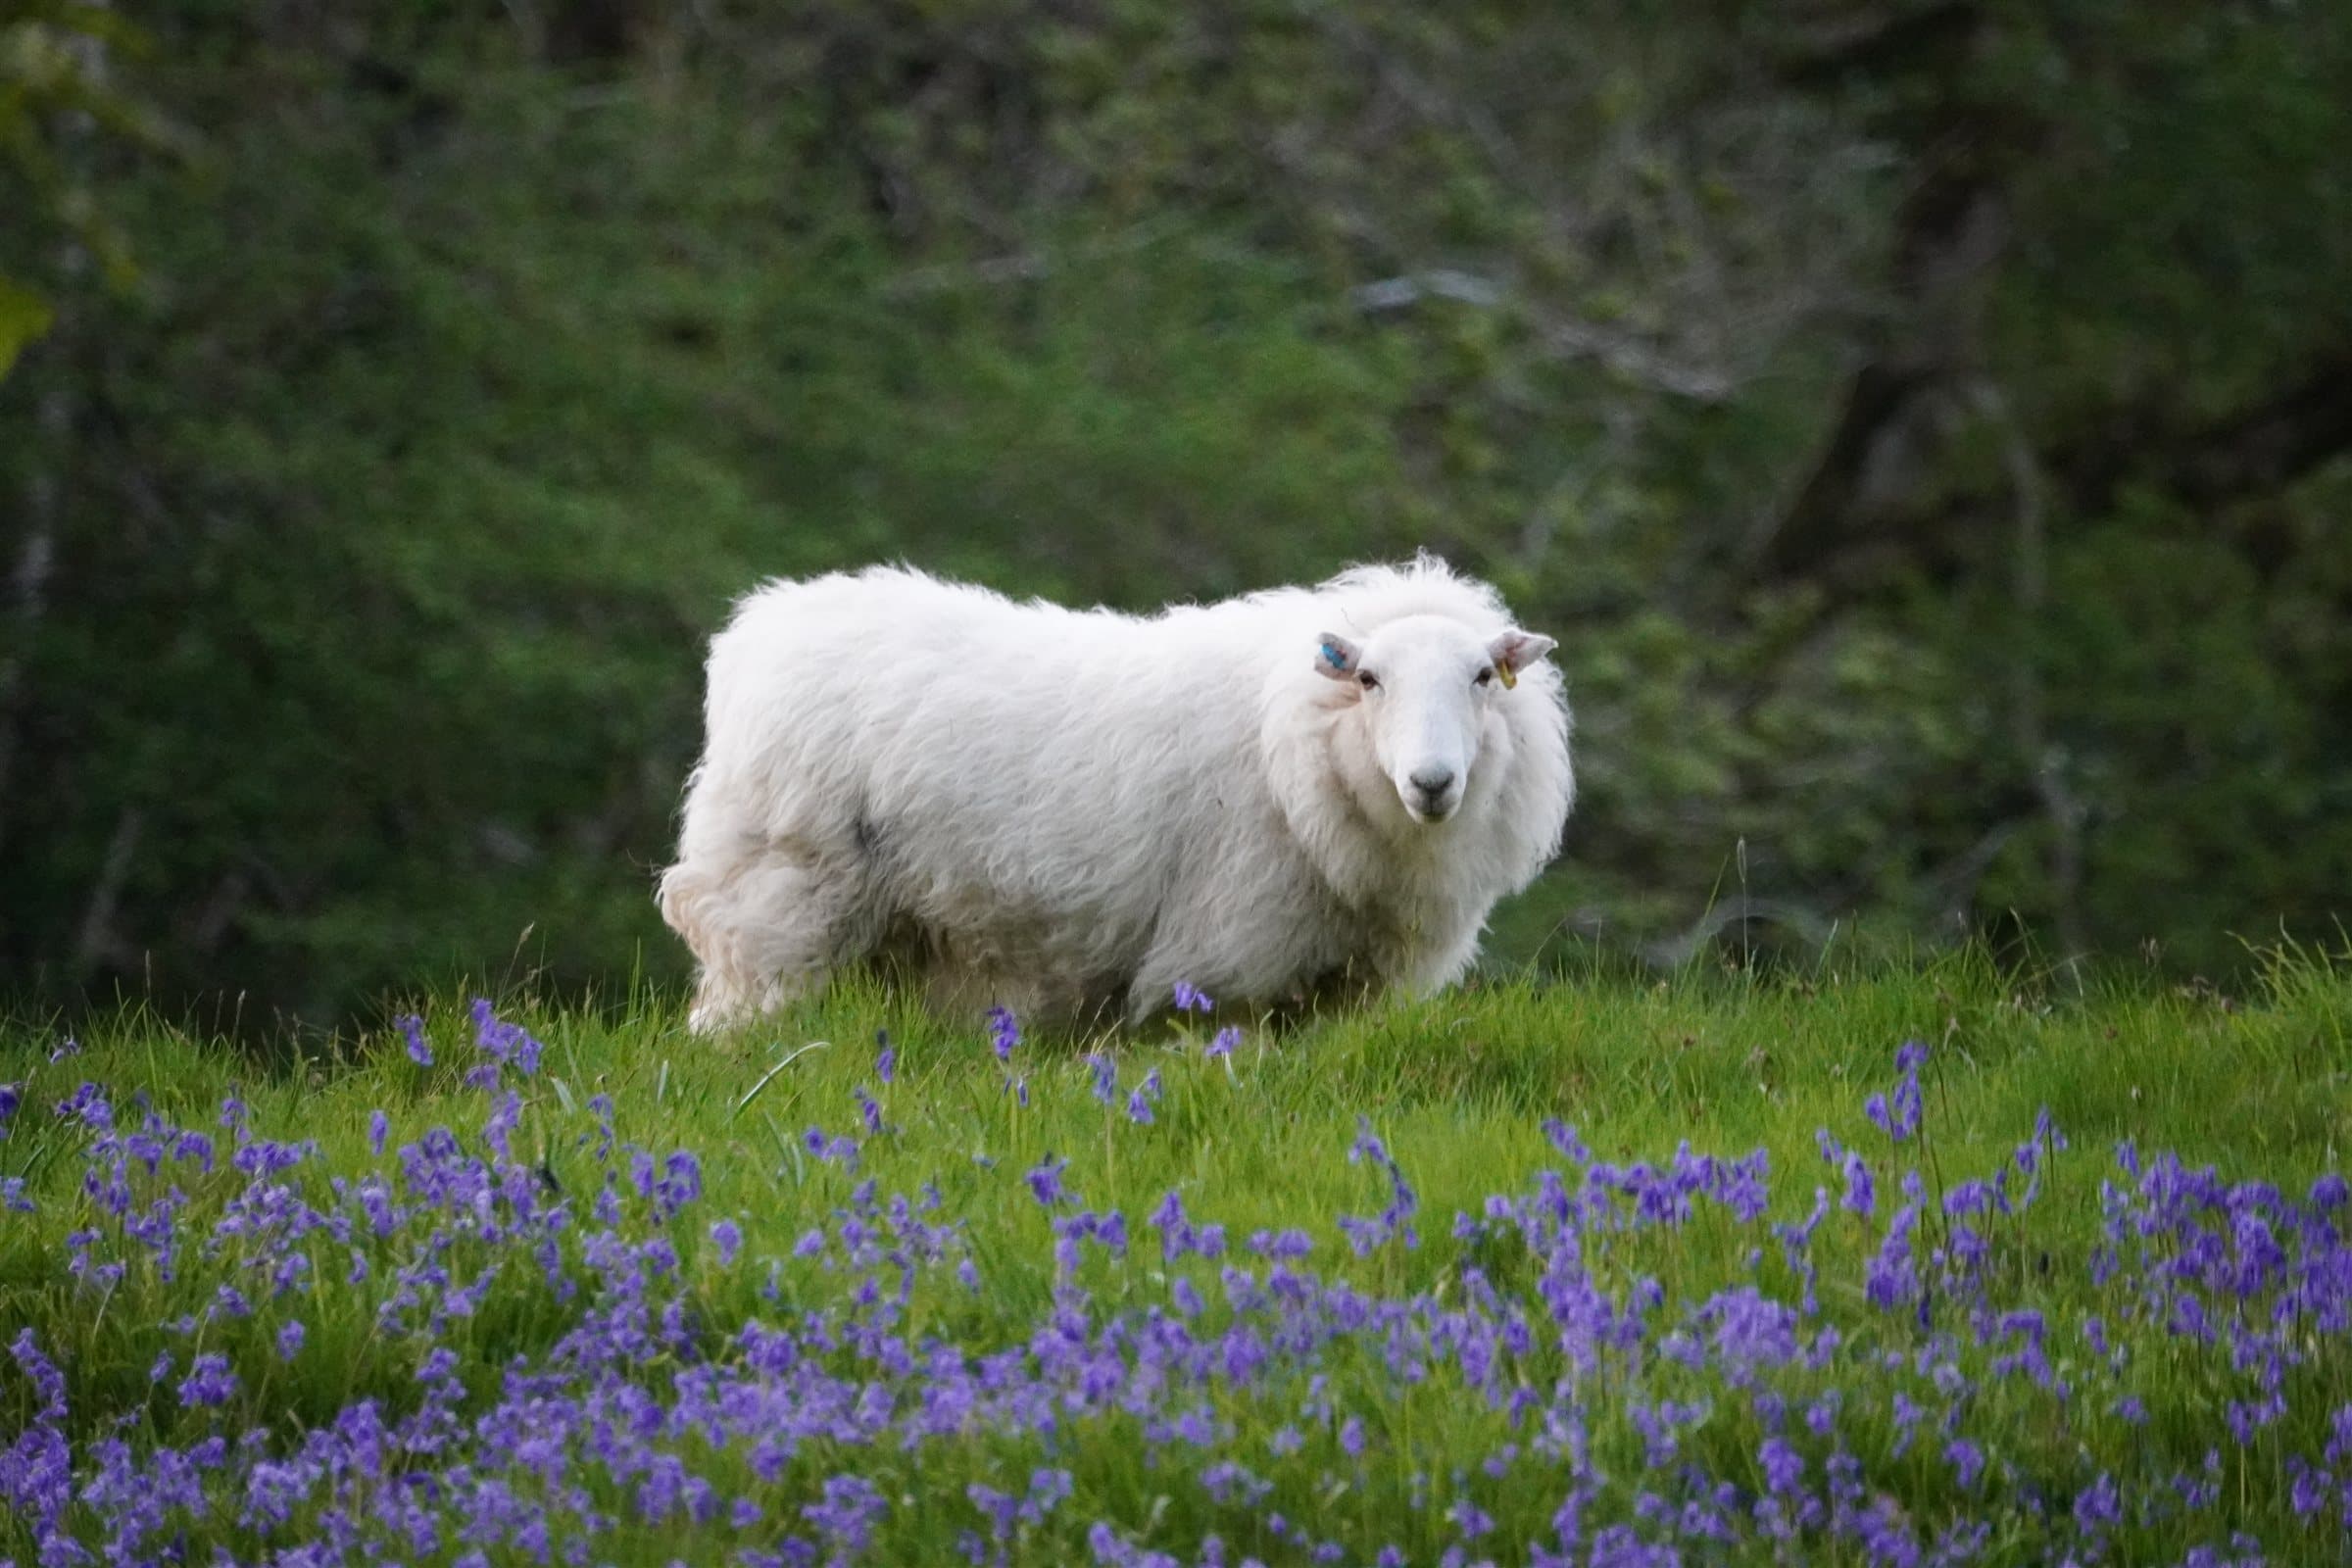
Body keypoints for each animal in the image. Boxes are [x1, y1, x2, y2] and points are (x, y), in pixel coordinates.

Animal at [657, 554, 1574, 1032]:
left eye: (1482, 677)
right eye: (1371, 679)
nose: (1432, 782)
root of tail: (763, 625)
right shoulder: (1226, 968)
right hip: (780, 897)